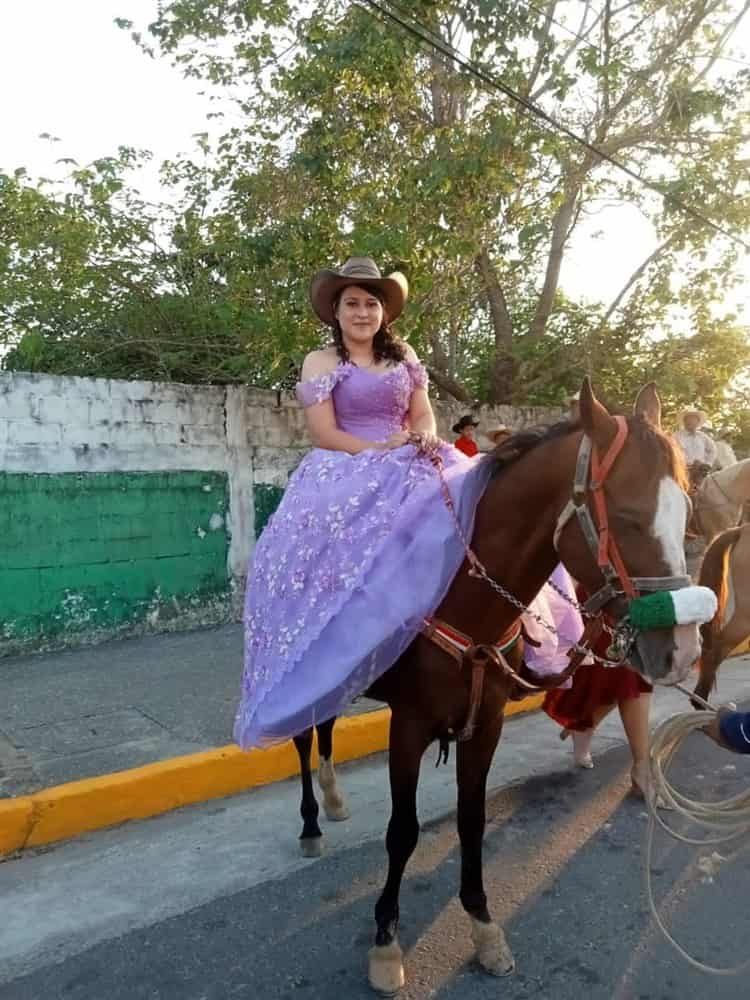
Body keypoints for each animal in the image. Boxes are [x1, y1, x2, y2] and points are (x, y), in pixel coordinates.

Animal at [294, 380, 700, 992]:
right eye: (628, 518)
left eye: (687, 513)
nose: (682, 650)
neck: (464, 598)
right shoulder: (407, 726)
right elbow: (402, 831)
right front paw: (386, 942)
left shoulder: (483, 725)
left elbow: (472, 819)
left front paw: (484, 928)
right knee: (303, 736)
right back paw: (312, 824)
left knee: (323, 727)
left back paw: (334, 798)